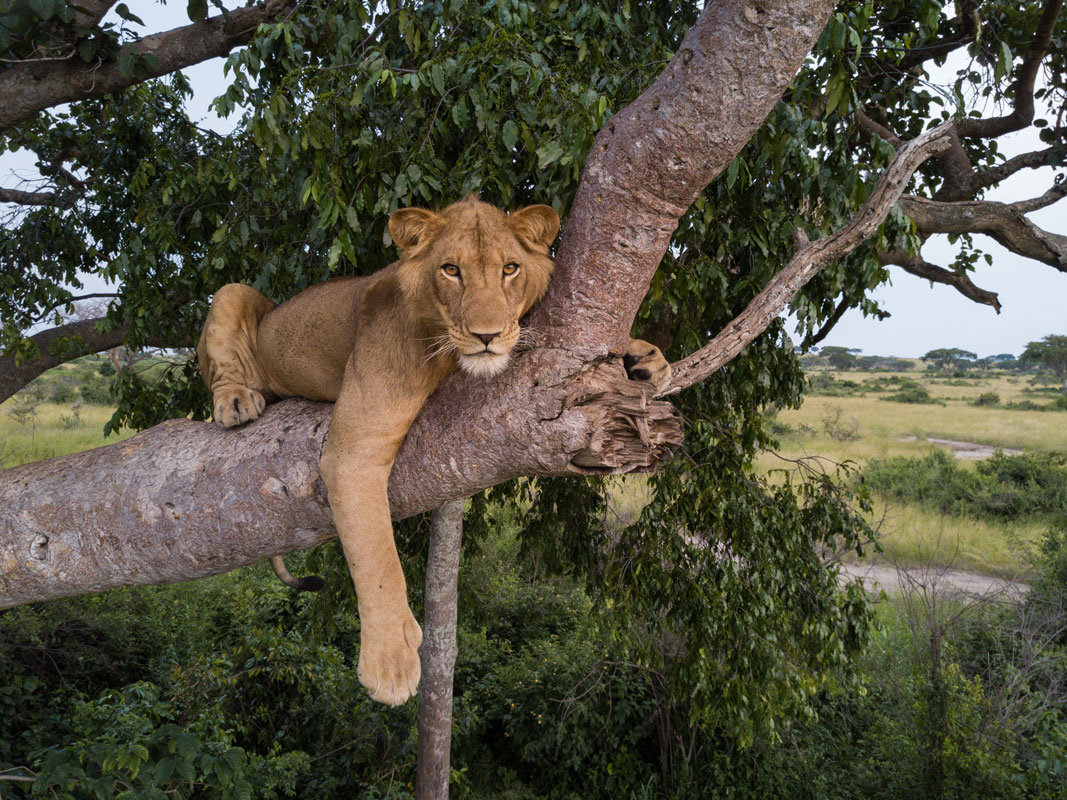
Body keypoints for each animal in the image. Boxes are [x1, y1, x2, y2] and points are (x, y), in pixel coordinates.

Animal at [196, 196, 670, 708]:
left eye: (509, 269)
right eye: (451, 270)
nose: (487, 336)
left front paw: (645, 357)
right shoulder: (353, 451)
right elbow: (376, 555)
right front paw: (389, 661)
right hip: (232, 294)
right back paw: (236, 401)